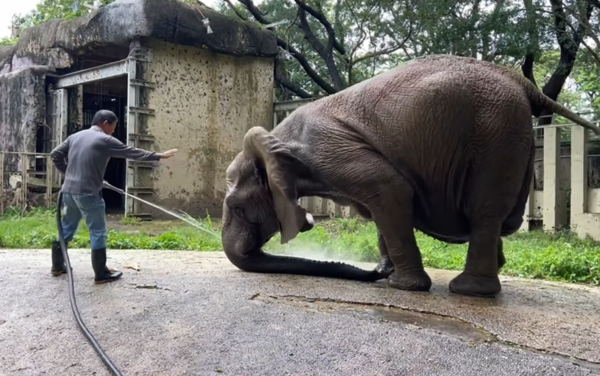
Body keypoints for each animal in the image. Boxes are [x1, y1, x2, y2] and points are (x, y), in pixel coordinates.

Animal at [221, 54, 600, 298]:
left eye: (238, 208)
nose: (375, 273)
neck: (276, 138)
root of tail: (522, 82)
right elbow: (380, 208)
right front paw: (389, 272)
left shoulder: (329, 152)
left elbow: (391, 190)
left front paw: (401, 285)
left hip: (495, 134)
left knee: (485, 212)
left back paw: (469, 291)